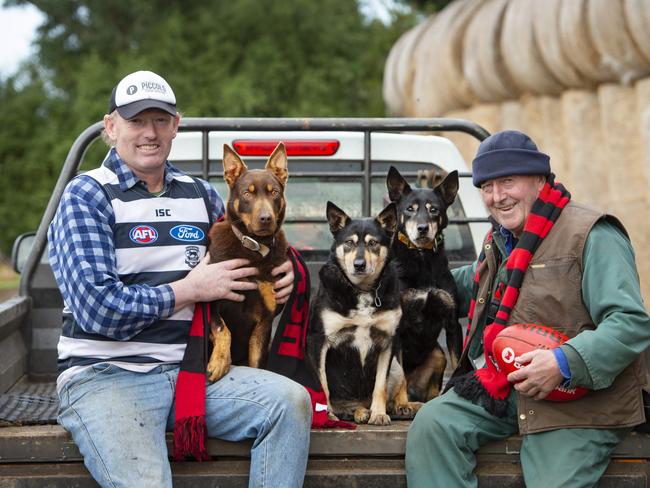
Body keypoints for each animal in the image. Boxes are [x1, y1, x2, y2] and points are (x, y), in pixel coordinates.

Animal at [206, 143, 288, 384]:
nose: (266, 218)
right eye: (247, 193)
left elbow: (257, 363)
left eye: (274, 192)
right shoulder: (210, 304)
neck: (253, 247)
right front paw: (220, 361)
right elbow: (223, 330)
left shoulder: (264, 321)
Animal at [308, 200, 422, 426]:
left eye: (373, 243)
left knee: (400, 382)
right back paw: (359, 412)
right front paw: (327, 415)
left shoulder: (388, 341)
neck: (361, 289)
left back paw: (400, 406)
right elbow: (323, 385)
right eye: (349, 243)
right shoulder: (319, 342)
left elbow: (380, 386)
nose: (359, 265)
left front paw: (378, 414)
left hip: (396, 365)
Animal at [384, 166, 460, 402]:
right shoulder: (397, 326)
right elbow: (399, 373)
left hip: (438, 354)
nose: (422, 228)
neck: (422, 258)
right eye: (410, 209)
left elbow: (458, 363)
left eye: (434, 210)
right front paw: (402, 404)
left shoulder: (451, 321)